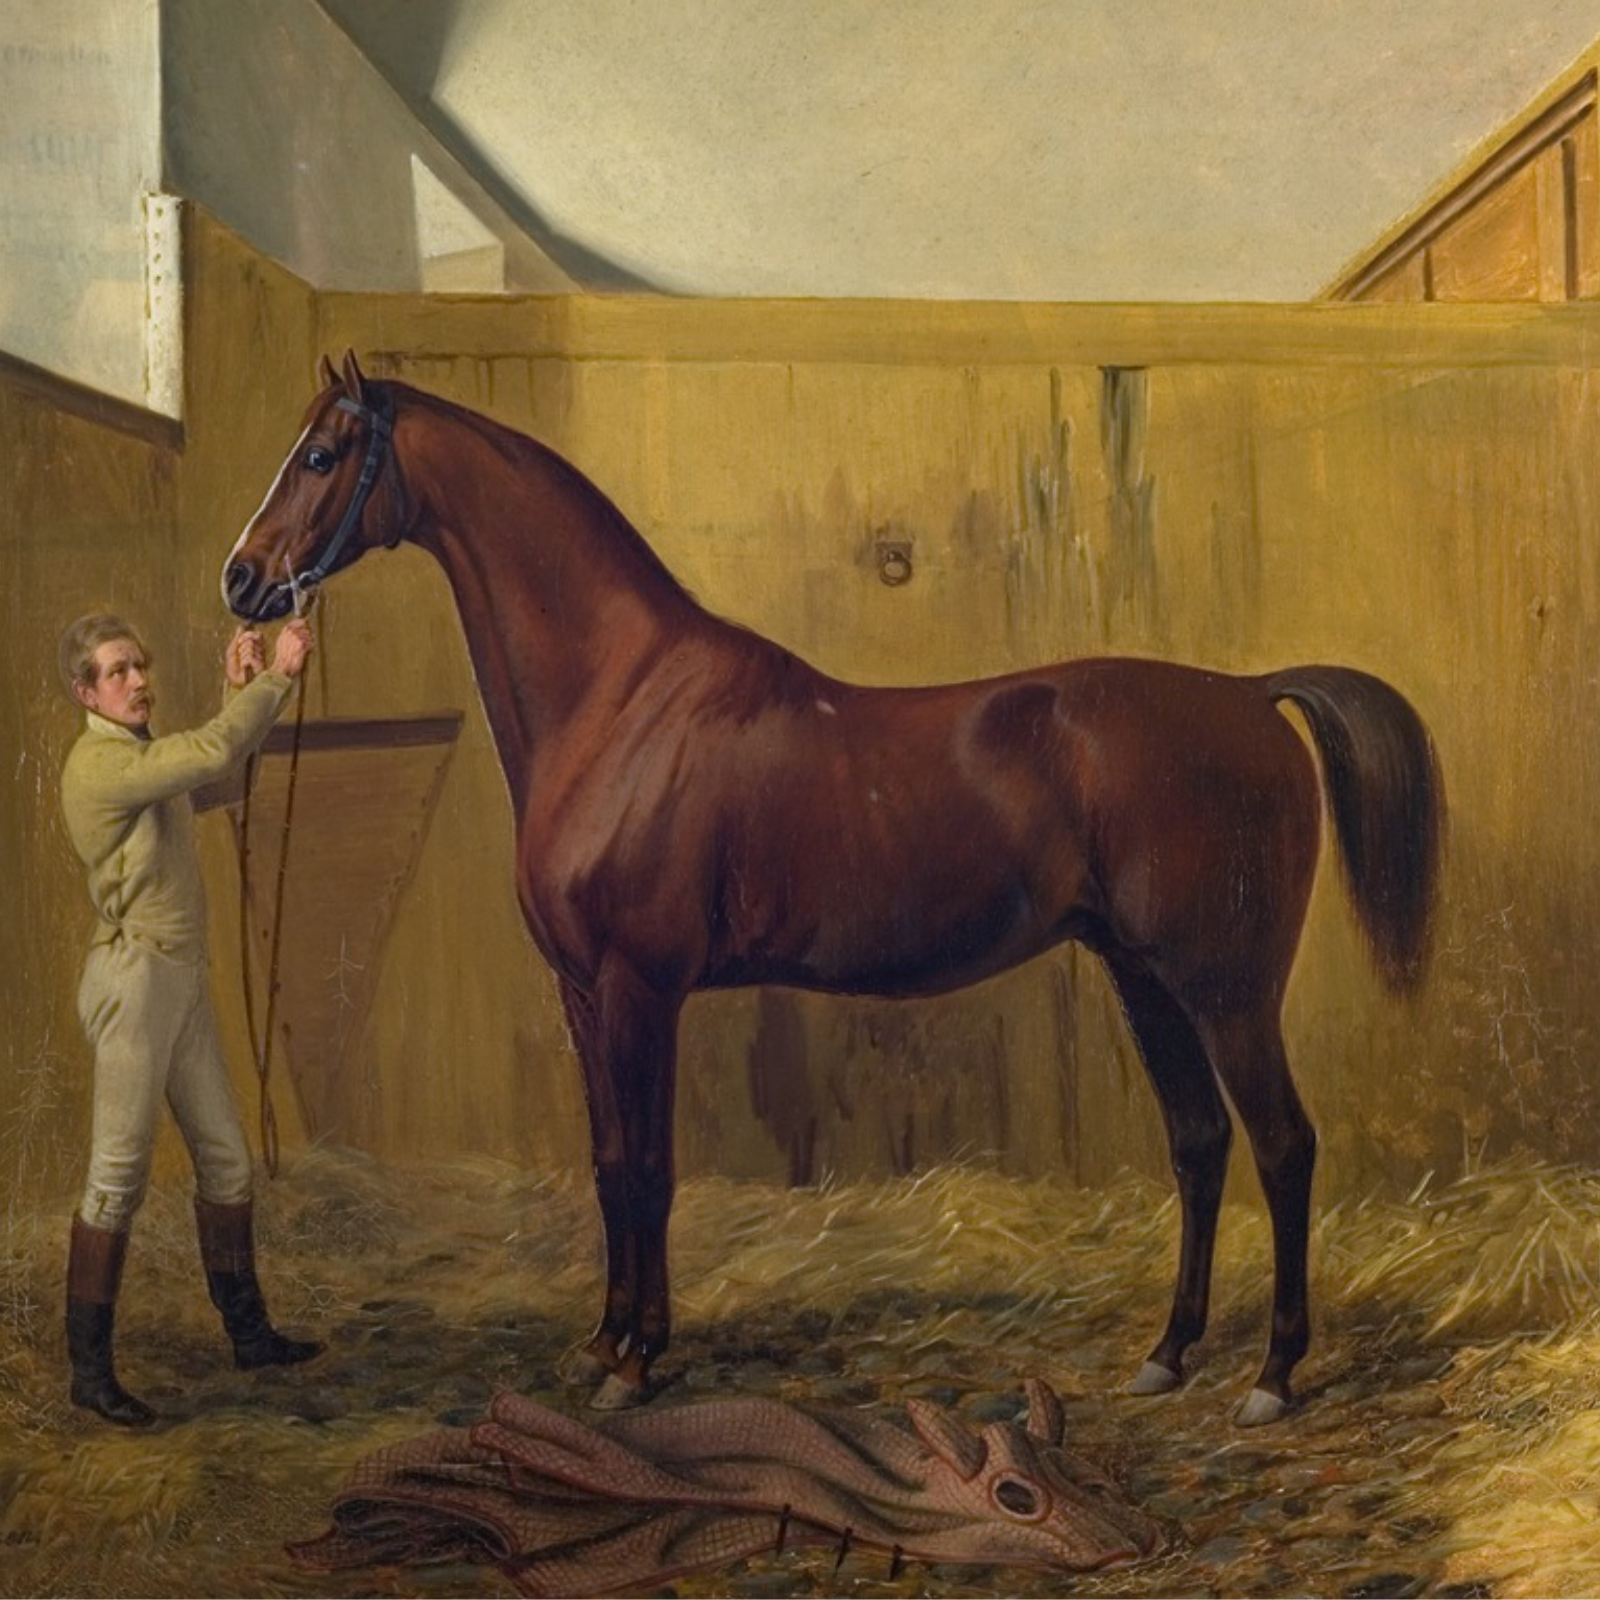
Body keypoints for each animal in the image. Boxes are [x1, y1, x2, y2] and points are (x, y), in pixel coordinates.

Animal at [222, 351, 1444, 1426]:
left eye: (323, 454)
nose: (241, 577)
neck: (621, 703)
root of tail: (1252, 693)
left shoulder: (639, 989)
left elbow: (651, 1171)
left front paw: (639, 1362)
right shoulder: (583, 993)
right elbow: (611, 1165)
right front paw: (606, 1342)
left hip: (1227, 988)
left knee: (1283, 1147)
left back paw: (1272, 1377)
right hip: (1144, 977)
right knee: (1199, 1143)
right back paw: (1167, 1355)